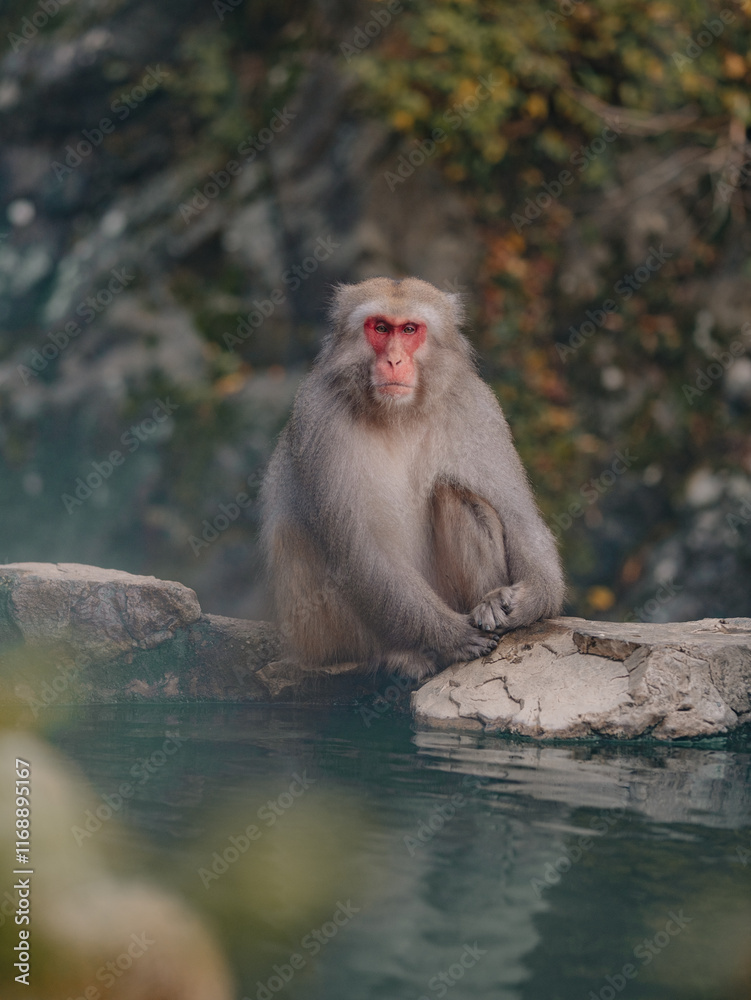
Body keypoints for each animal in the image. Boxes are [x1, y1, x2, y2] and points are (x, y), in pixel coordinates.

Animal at [260, 276, 564, 680]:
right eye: (380, 328)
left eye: (408, 330)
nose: (394, 360)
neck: (398, 415)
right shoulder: (318, 416)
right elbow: (357, 552)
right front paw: (449, 635)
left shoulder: (476, 408)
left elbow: (520, 520)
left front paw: (525, 602)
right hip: (321, 637)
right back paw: (401, 655)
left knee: (457, 494)